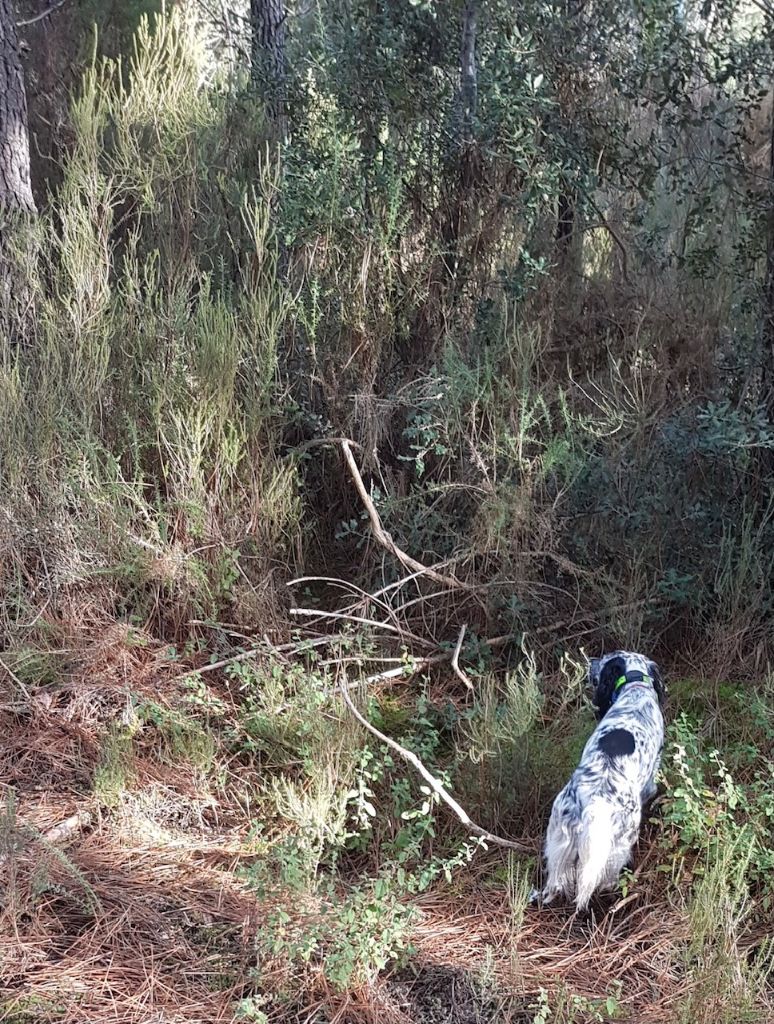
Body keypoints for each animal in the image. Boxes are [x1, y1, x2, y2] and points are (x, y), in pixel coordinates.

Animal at [532, 651, 663, 909]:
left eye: (603, 659)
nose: (590, 661)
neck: (635, 687)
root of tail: (594, 800)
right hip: (620, 841)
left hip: (558, 838)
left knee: (554, 882)